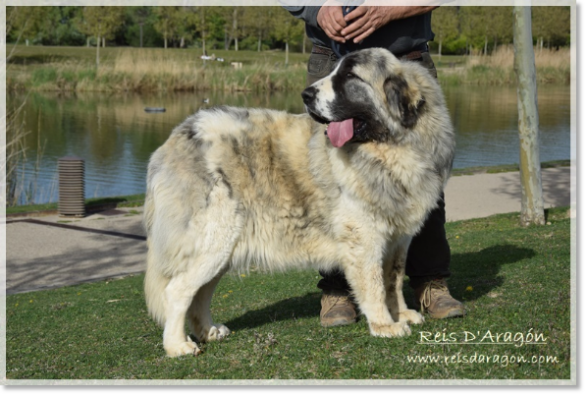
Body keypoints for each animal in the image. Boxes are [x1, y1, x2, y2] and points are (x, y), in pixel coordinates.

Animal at [145, 48, 458, 358]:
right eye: (335, 71)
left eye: (349, 76)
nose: (306, 95)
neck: (390, 148)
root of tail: (175, 139)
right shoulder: (364, 238)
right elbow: (374, 286)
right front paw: (385, 325)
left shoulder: (398, 239)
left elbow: (393, 279)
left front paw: (401, 314)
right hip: (214, 239)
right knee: (178, 290)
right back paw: (178, 345)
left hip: (223, 248)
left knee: (200, 293)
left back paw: (208, 331)